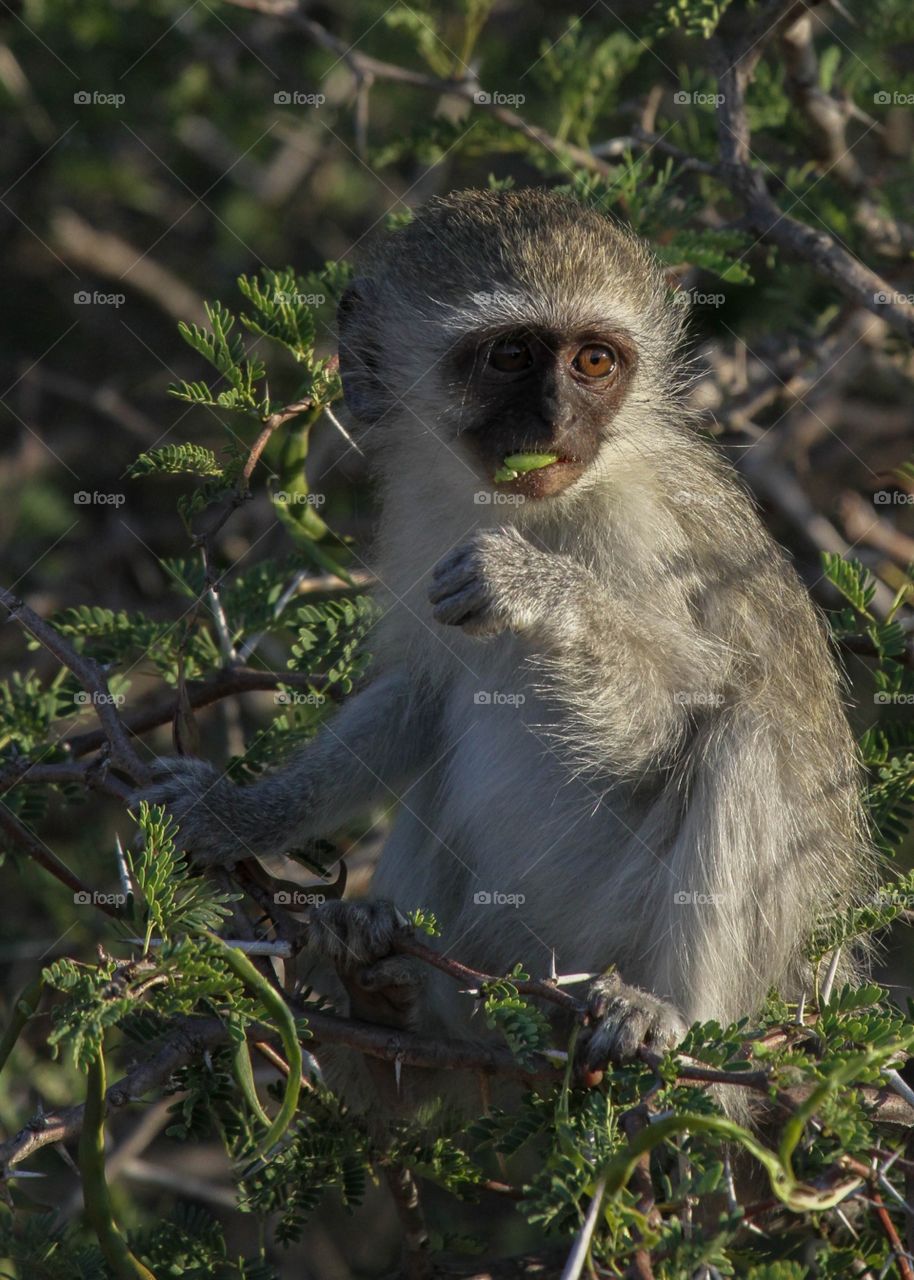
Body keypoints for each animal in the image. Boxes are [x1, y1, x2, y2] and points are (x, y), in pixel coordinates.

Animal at [139, 187, 874, 1106]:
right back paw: (390, 1002)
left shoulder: (644, 532)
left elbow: (673, 722)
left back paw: (662, 1016)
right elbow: (418, 692)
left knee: (745, 734)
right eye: (512, 355)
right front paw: (239, 815)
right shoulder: (422, 517)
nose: (557, 419)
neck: (538, 508)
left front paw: (537, 590)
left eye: (595, 361)